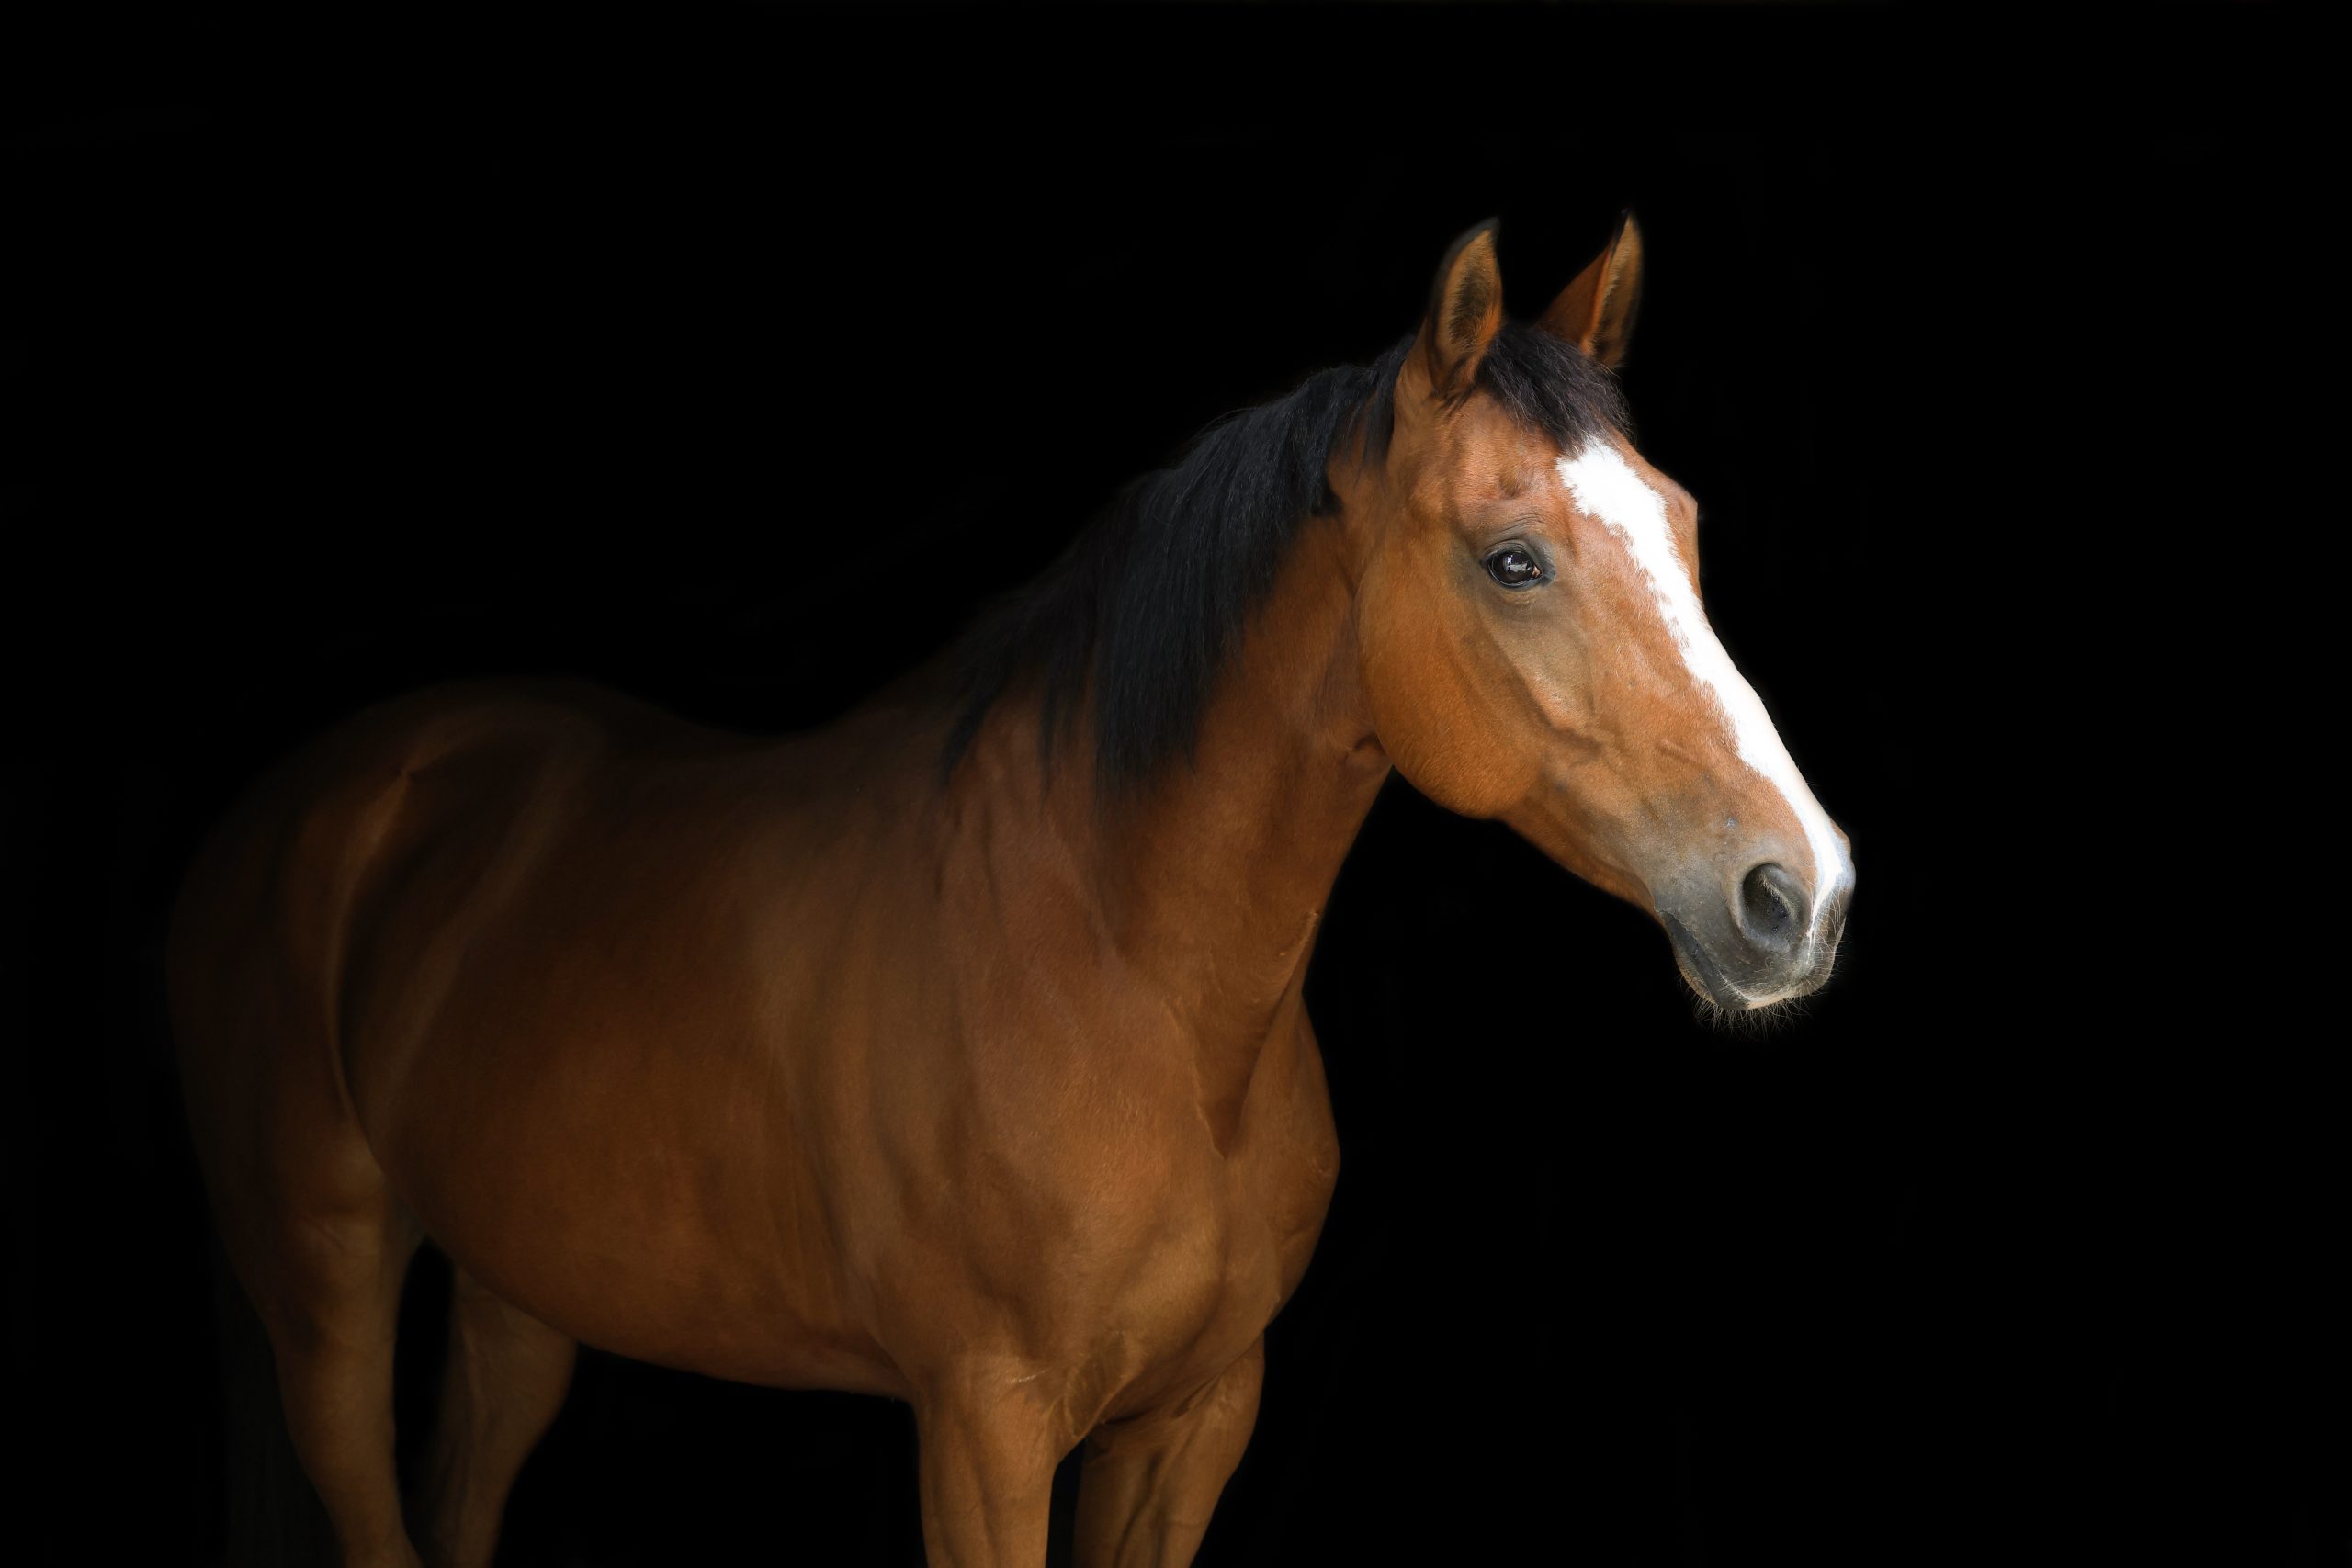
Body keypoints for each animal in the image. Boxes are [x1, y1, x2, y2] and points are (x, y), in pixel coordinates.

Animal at [168, 214, 1853, 1568]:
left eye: (1683, 526)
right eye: (1514, 560)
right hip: (325, 1292)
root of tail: (323, 800)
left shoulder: (1193, 1420)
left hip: (521, 1295)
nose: (1801, 891)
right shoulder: (984, 1425)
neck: (1126, 975)